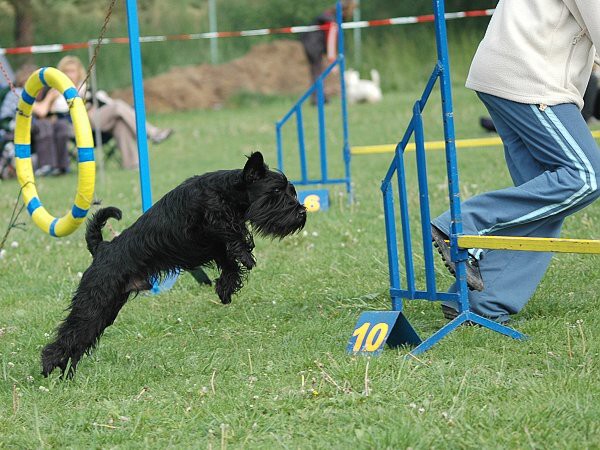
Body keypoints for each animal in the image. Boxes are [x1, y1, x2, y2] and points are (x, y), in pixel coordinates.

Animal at [42, 153, 308, 378]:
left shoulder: (214, 246)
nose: (302, 213)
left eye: (291, 191)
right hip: (93, 302)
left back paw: (66, 372)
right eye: (276, 191)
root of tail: (101, 248)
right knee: (69, 334)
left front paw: (225, 288)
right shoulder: (210, 217)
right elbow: (230, 230)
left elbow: (229, 260)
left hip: (106, 309)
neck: (229, 189)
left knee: (79, 339)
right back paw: (49, 366)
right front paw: (246, 256)